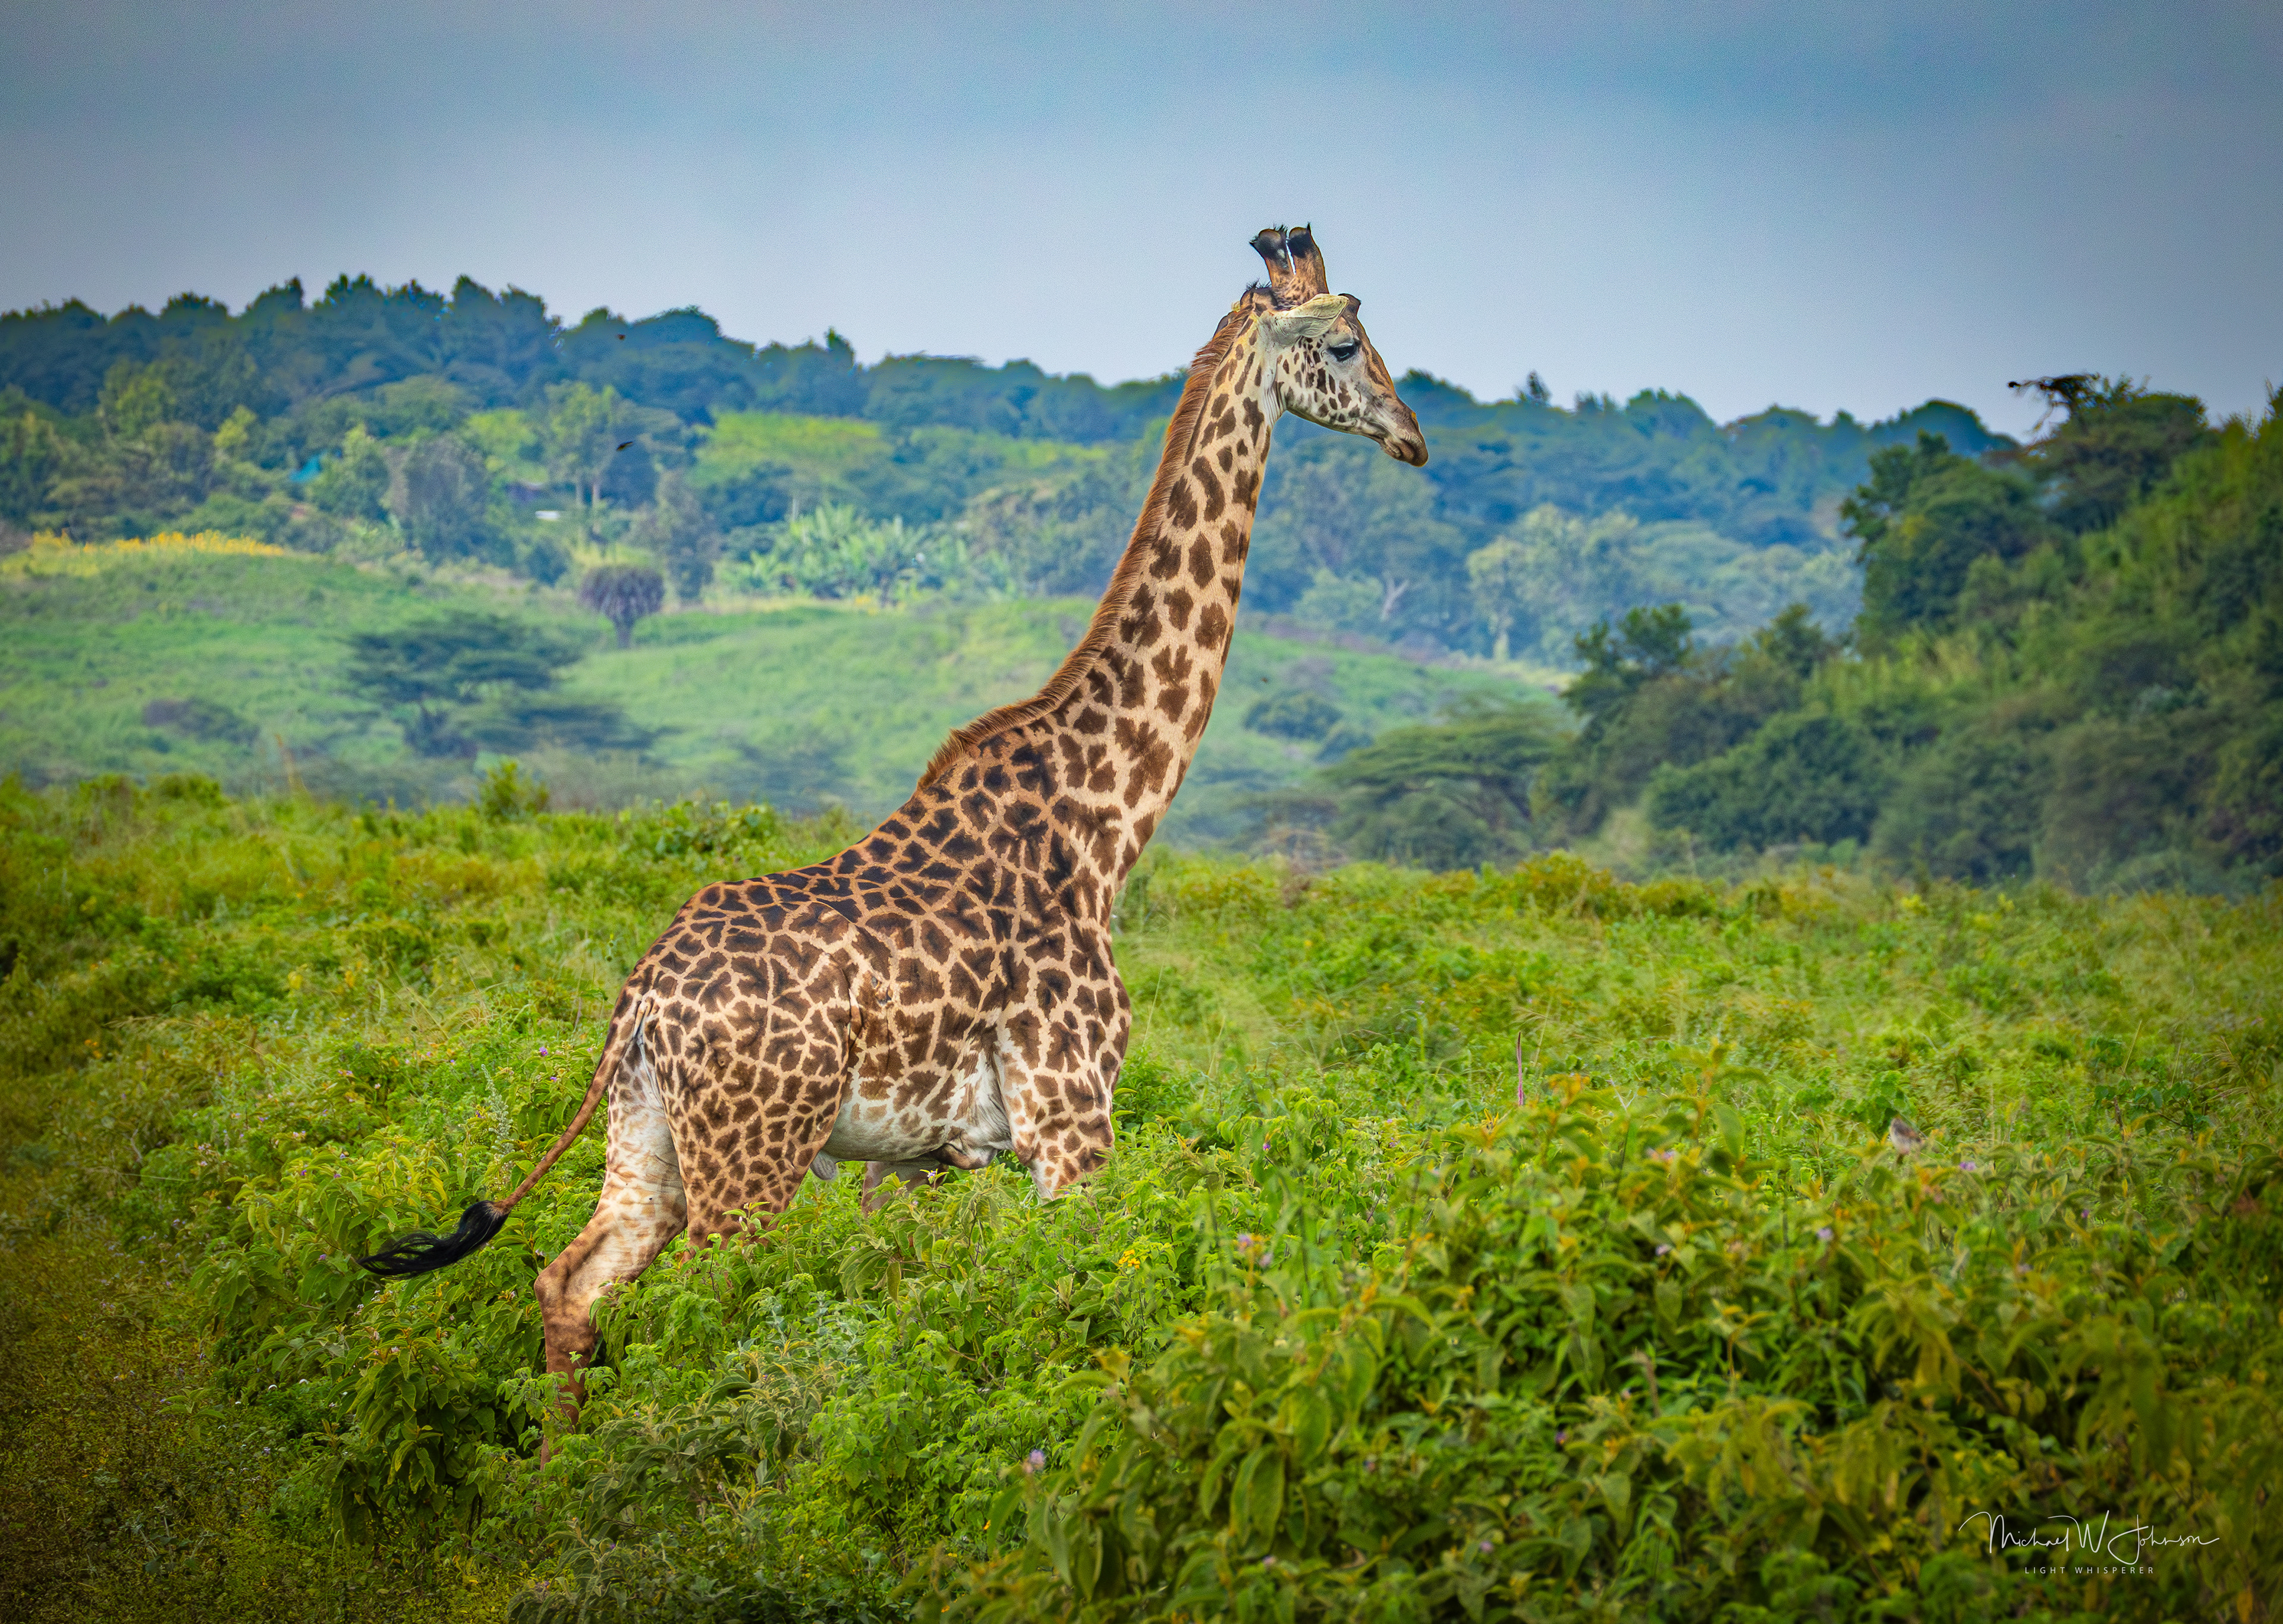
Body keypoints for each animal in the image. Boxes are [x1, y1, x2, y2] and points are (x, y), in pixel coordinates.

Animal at [358, 224, 1429, 1425]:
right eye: (1344, 344)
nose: (1414, 437)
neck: (1106, 820)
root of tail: (640, 1000)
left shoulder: (922, 1156)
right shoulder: (1071, 1120)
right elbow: (1079, 1309)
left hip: (647, 1137)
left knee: (569, 1281)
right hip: (755, 1152)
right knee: (691, 1305)